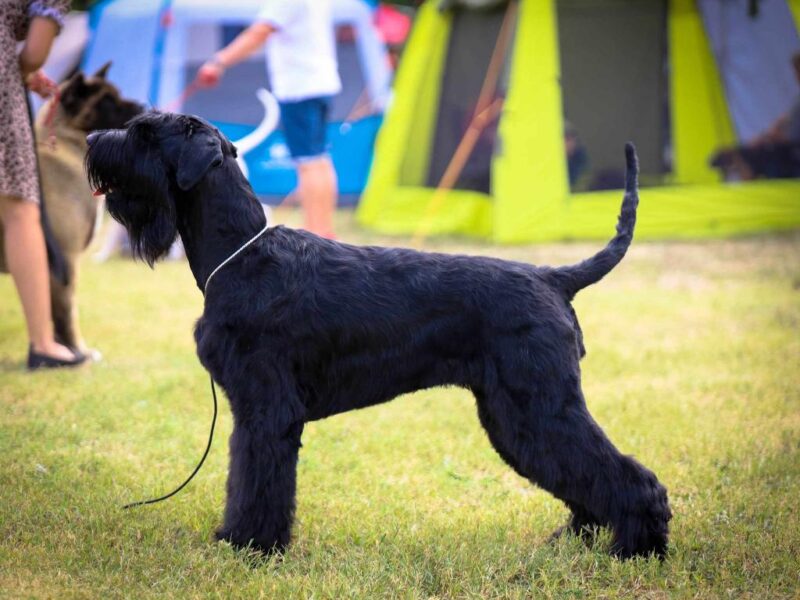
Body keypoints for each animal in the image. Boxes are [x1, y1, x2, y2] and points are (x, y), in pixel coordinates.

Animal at [0, 63, 142, 358]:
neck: (68, 143)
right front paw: (77, 353)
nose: (142, 107)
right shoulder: (65, 260)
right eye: (107, 101)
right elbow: (66, 314)